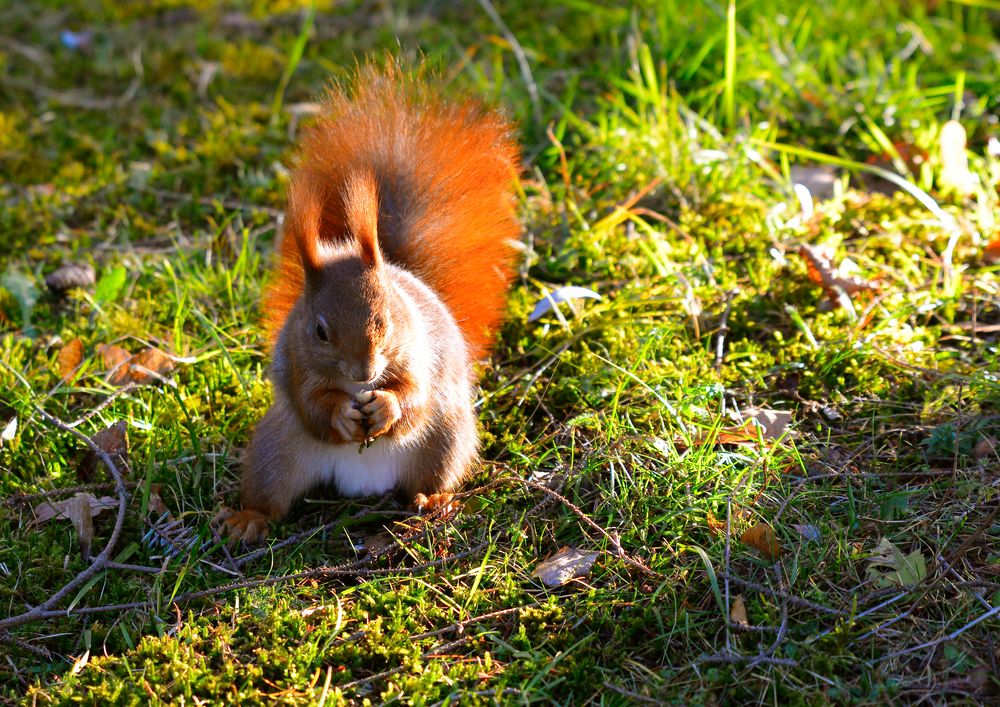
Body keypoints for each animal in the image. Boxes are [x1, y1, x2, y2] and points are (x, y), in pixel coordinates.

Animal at [215, 65, 520, 544]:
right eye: (319, 331)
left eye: (387, 320)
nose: (364, 373)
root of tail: (363, 483)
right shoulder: (298, 364)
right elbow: (312, 405)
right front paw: (341, 412)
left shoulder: (420, 353)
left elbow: (414, 396)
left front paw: (386, 407)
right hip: (275, 448)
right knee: (271, 492)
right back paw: (249, 519)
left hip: (445, 437)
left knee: (432, 469)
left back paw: (434, 502)